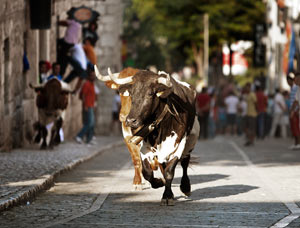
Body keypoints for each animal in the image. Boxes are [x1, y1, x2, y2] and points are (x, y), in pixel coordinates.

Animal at [108, 69, 199, 205]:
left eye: (150, 93)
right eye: (131, 94)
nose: (130, 121)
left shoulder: (177, 146)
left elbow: (169, 172)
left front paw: (167, 196)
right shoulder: (145, 147)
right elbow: (147, 172)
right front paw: (159, 182)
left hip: (191, 141)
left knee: (185, 162)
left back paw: (185, 187)